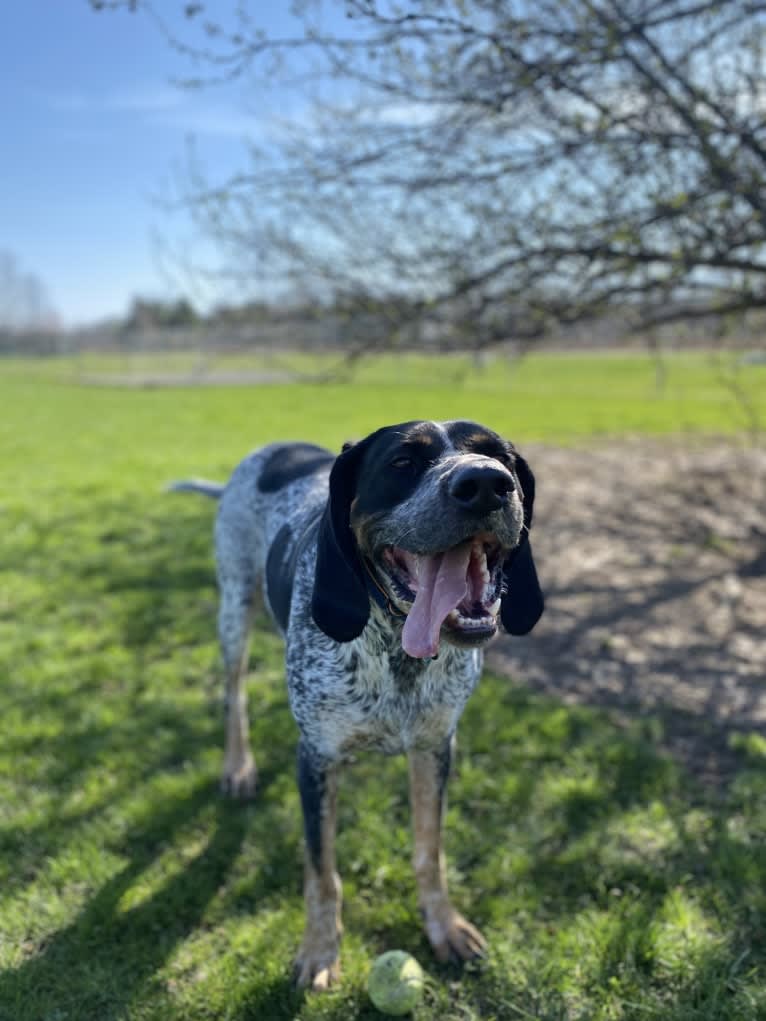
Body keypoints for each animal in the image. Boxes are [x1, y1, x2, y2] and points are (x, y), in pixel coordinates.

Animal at [173, 414, 547, 988]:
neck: (398, 651)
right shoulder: (318, 759)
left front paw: (444, 926)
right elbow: (322, 871)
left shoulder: (435, 749)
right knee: (234, 694)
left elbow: (430, 850)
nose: (487, 484)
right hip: (234, 609)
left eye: (501, 458)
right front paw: (320, 950)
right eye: (402, 462)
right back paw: (238, 767)